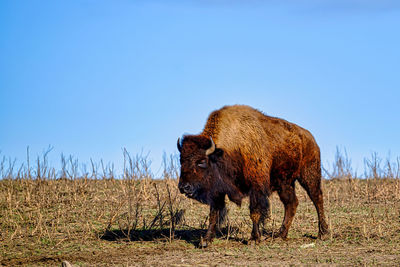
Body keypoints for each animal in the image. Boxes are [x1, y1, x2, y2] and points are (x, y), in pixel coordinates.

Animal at [177, 105, 328, 248]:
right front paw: (205, 241)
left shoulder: (256, 186)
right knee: (291, 203)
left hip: (309, 174)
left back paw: (323, 233)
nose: (184, 187)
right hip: (285, 183)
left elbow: (254, 212)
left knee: (317, 198)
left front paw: (254, 239)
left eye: (201, 161)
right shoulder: (217, 191)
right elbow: (213, 214)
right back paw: (281, 235)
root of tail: (310, 138)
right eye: (181, 160)